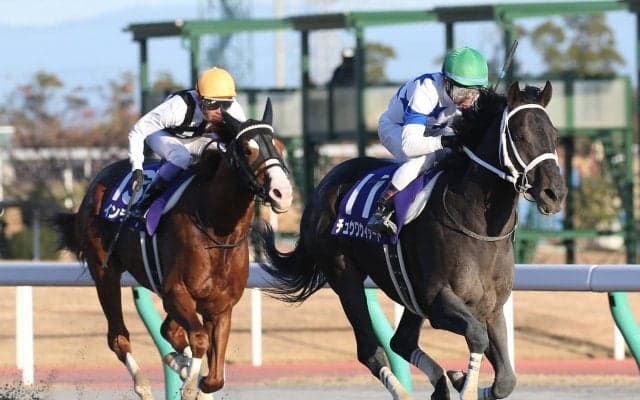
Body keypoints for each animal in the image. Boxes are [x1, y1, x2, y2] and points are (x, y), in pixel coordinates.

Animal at [52, 100, 293, 400]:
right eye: (248, 150)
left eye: (279, 146)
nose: (282, 192)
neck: (217, 228)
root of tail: (95, 185)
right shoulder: (175, 291)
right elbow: (200, 339)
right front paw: (188, 384)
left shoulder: (221, 304)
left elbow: (215, 376)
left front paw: (194, 377)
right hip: (104, 272)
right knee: (118, 337)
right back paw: (144, 385)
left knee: (168, 330)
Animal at [258, 82, 566, 400]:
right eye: (519, 135)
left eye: (554, 134)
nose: (554, 193)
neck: (480, 228)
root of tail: (324, 185)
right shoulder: (438, 300)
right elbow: (477, 337)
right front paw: (464, 383)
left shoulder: (490, 307)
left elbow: (506, 379)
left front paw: (459, 378)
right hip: (344, 275)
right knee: (371, 350)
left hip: (407, 289)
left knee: (401, 341)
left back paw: (441, 383)